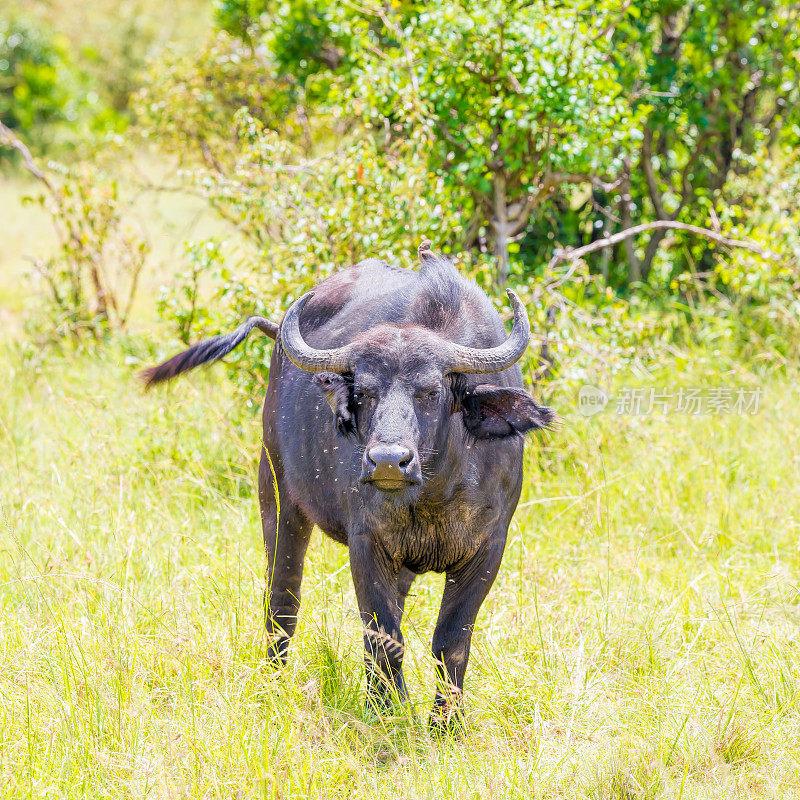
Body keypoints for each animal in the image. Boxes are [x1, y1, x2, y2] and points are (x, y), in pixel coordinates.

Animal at [144, 242, 552, 724]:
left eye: (432, 392)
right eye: (363, 393)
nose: (388, 461)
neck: (433, 493)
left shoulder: (487, 549)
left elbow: (450, 642)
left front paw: (444, 723)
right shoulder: (367, 544)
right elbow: (383, 636)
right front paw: (389, 714)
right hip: (277, 498)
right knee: (281, 600)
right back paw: (277, 681)